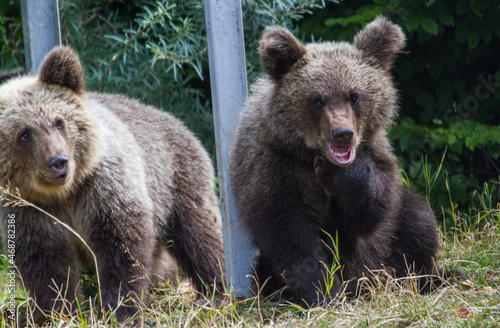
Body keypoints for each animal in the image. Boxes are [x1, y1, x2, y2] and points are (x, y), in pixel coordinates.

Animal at [0, 46, 225, 322]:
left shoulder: (102, 189)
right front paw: (64, 311)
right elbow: (46, 265)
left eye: (59, 121)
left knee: (200, 233)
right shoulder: (29, 209)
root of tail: (174, 120)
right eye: (24, 134)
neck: (63, 195)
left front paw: (119, 310)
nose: (59, 162)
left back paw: (214, 290)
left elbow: (121, 246)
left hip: (176, 177)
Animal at [230, 17, 464, 304]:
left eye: (355, 96)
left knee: (418, 221)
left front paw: (343, 176)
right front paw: (324, 292)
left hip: (389, 239)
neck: (308, 153)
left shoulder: (375, 153)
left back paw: (438, 276)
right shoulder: (274, 165)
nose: (342, 133)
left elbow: (367, 211)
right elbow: (289, 232)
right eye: (316, 100)